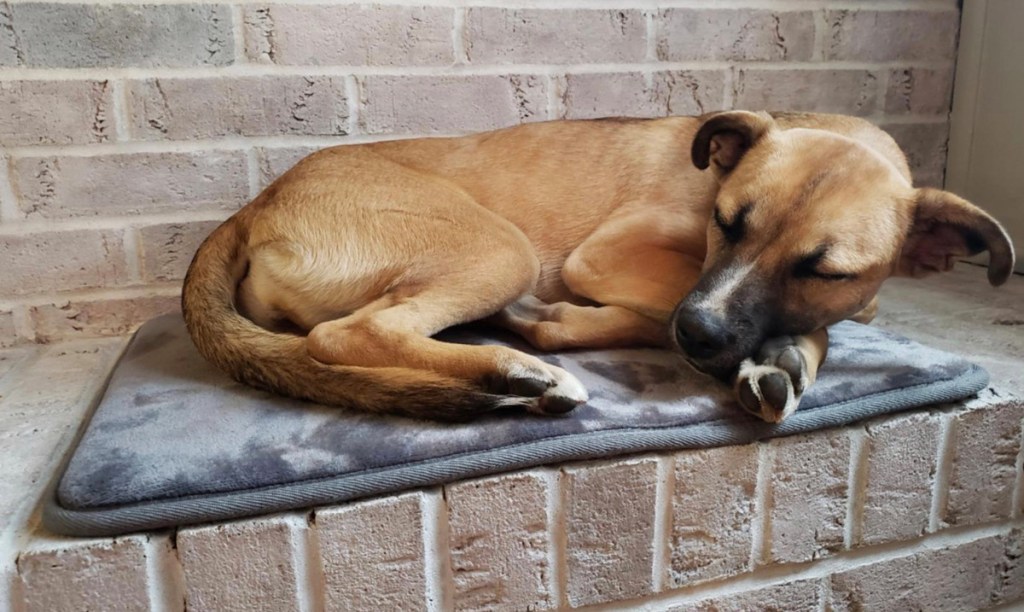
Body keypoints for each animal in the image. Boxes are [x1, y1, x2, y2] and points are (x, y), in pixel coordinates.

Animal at [182, 111, 1015, 421]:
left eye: (826, 271)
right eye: (725, 221)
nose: (701, 337)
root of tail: (254, 205)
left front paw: (782, 357)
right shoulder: (614, 257)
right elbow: (676, 307)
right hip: (502, 248)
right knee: (348, 336)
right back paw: (518, 371)